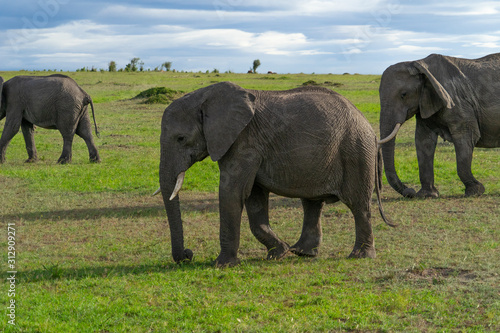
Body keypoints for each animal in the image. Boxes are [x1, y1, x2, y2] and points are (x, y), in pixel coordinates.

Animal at [378, 52, 500, 197]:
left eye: (404, 94)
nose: (410, 191)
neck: (418, 62)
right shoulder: (426, 102)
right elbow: (423, 141)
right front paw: (427, 195)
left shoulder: (457, 101)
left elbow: (466, 136)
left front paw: (475, 191)